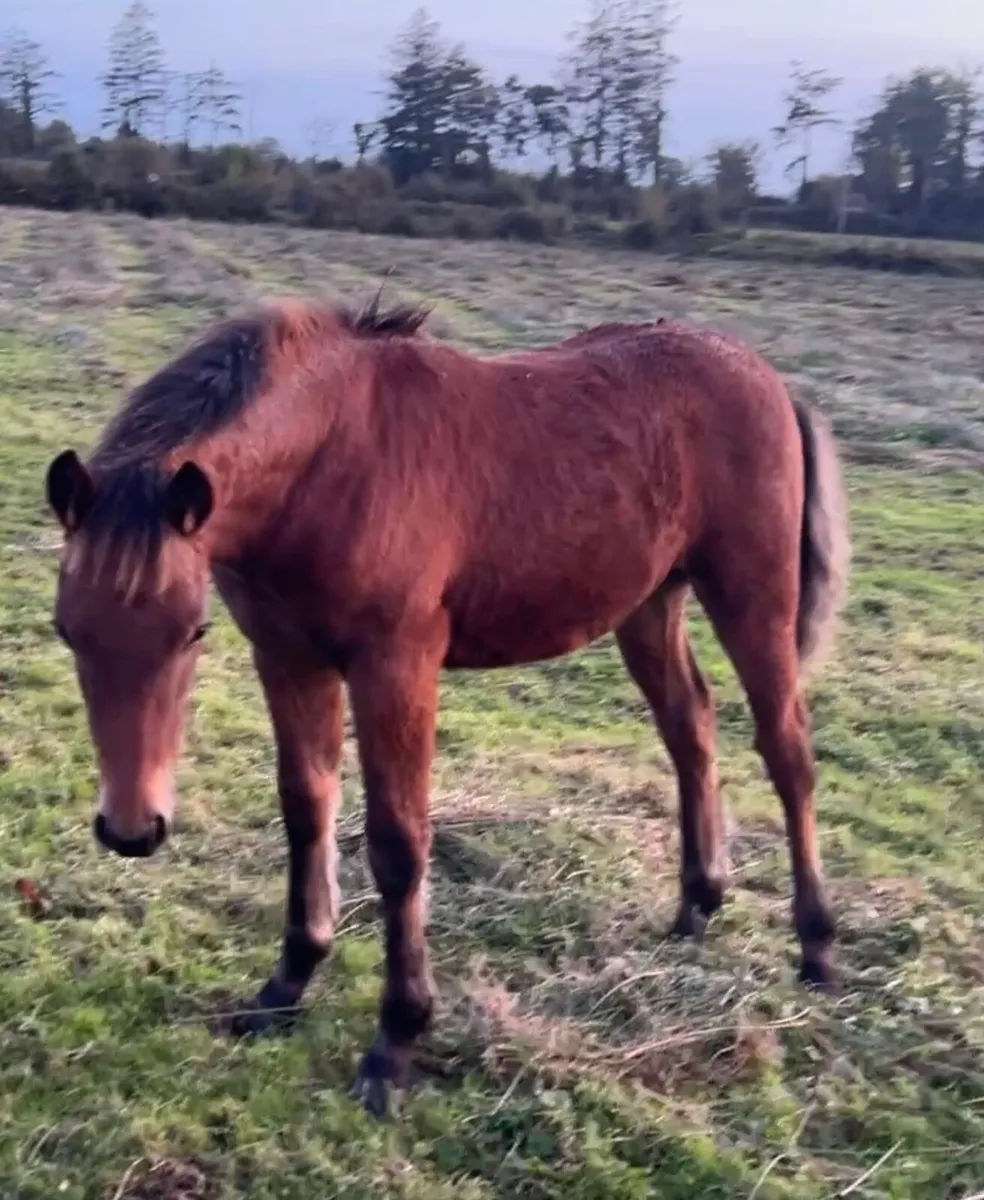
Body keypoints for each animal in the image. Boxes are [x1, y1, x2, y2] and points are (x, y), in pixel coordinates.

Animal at [44, 293, 850, 1116]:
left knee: (788, 752)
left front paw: (394, 1042)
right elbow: (306, 809)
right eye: (66, 630)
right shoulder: (289, 657)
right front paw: (285, 986)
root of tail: (769, 379)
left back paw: (816, 945)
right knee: (692, 727)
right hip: (650, 603)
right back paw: (697, 905)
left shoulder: (397, 665)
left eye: (193, 632)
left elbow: (398, 843)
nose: (132, 830)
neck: (333, 464)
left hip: (753, 595)